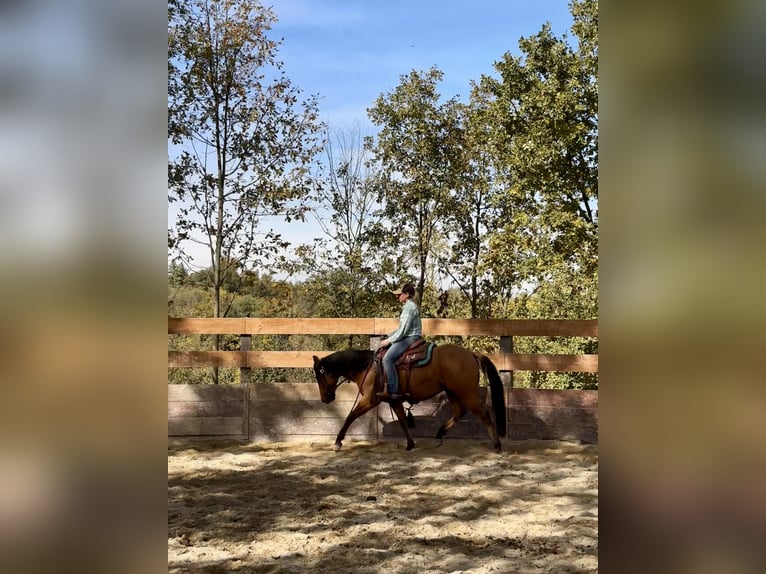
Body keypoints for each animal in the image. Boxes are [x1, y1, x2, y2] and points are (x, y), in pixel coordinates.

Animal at [312, 344, 507, 452]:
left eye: (320, 375)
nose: (324, 399)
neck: (367, 366)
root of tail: (471, 354)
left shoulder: (369, 400)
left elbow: (350, 416)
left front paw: (338, 442)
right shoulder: (395, 400)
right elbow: (402, 420)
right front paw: (410, 444)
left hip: (467, 393)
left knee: (484, 415)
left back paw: (497, 445)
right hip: (453, 392)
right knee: (459, 412)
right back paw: (439, 434)